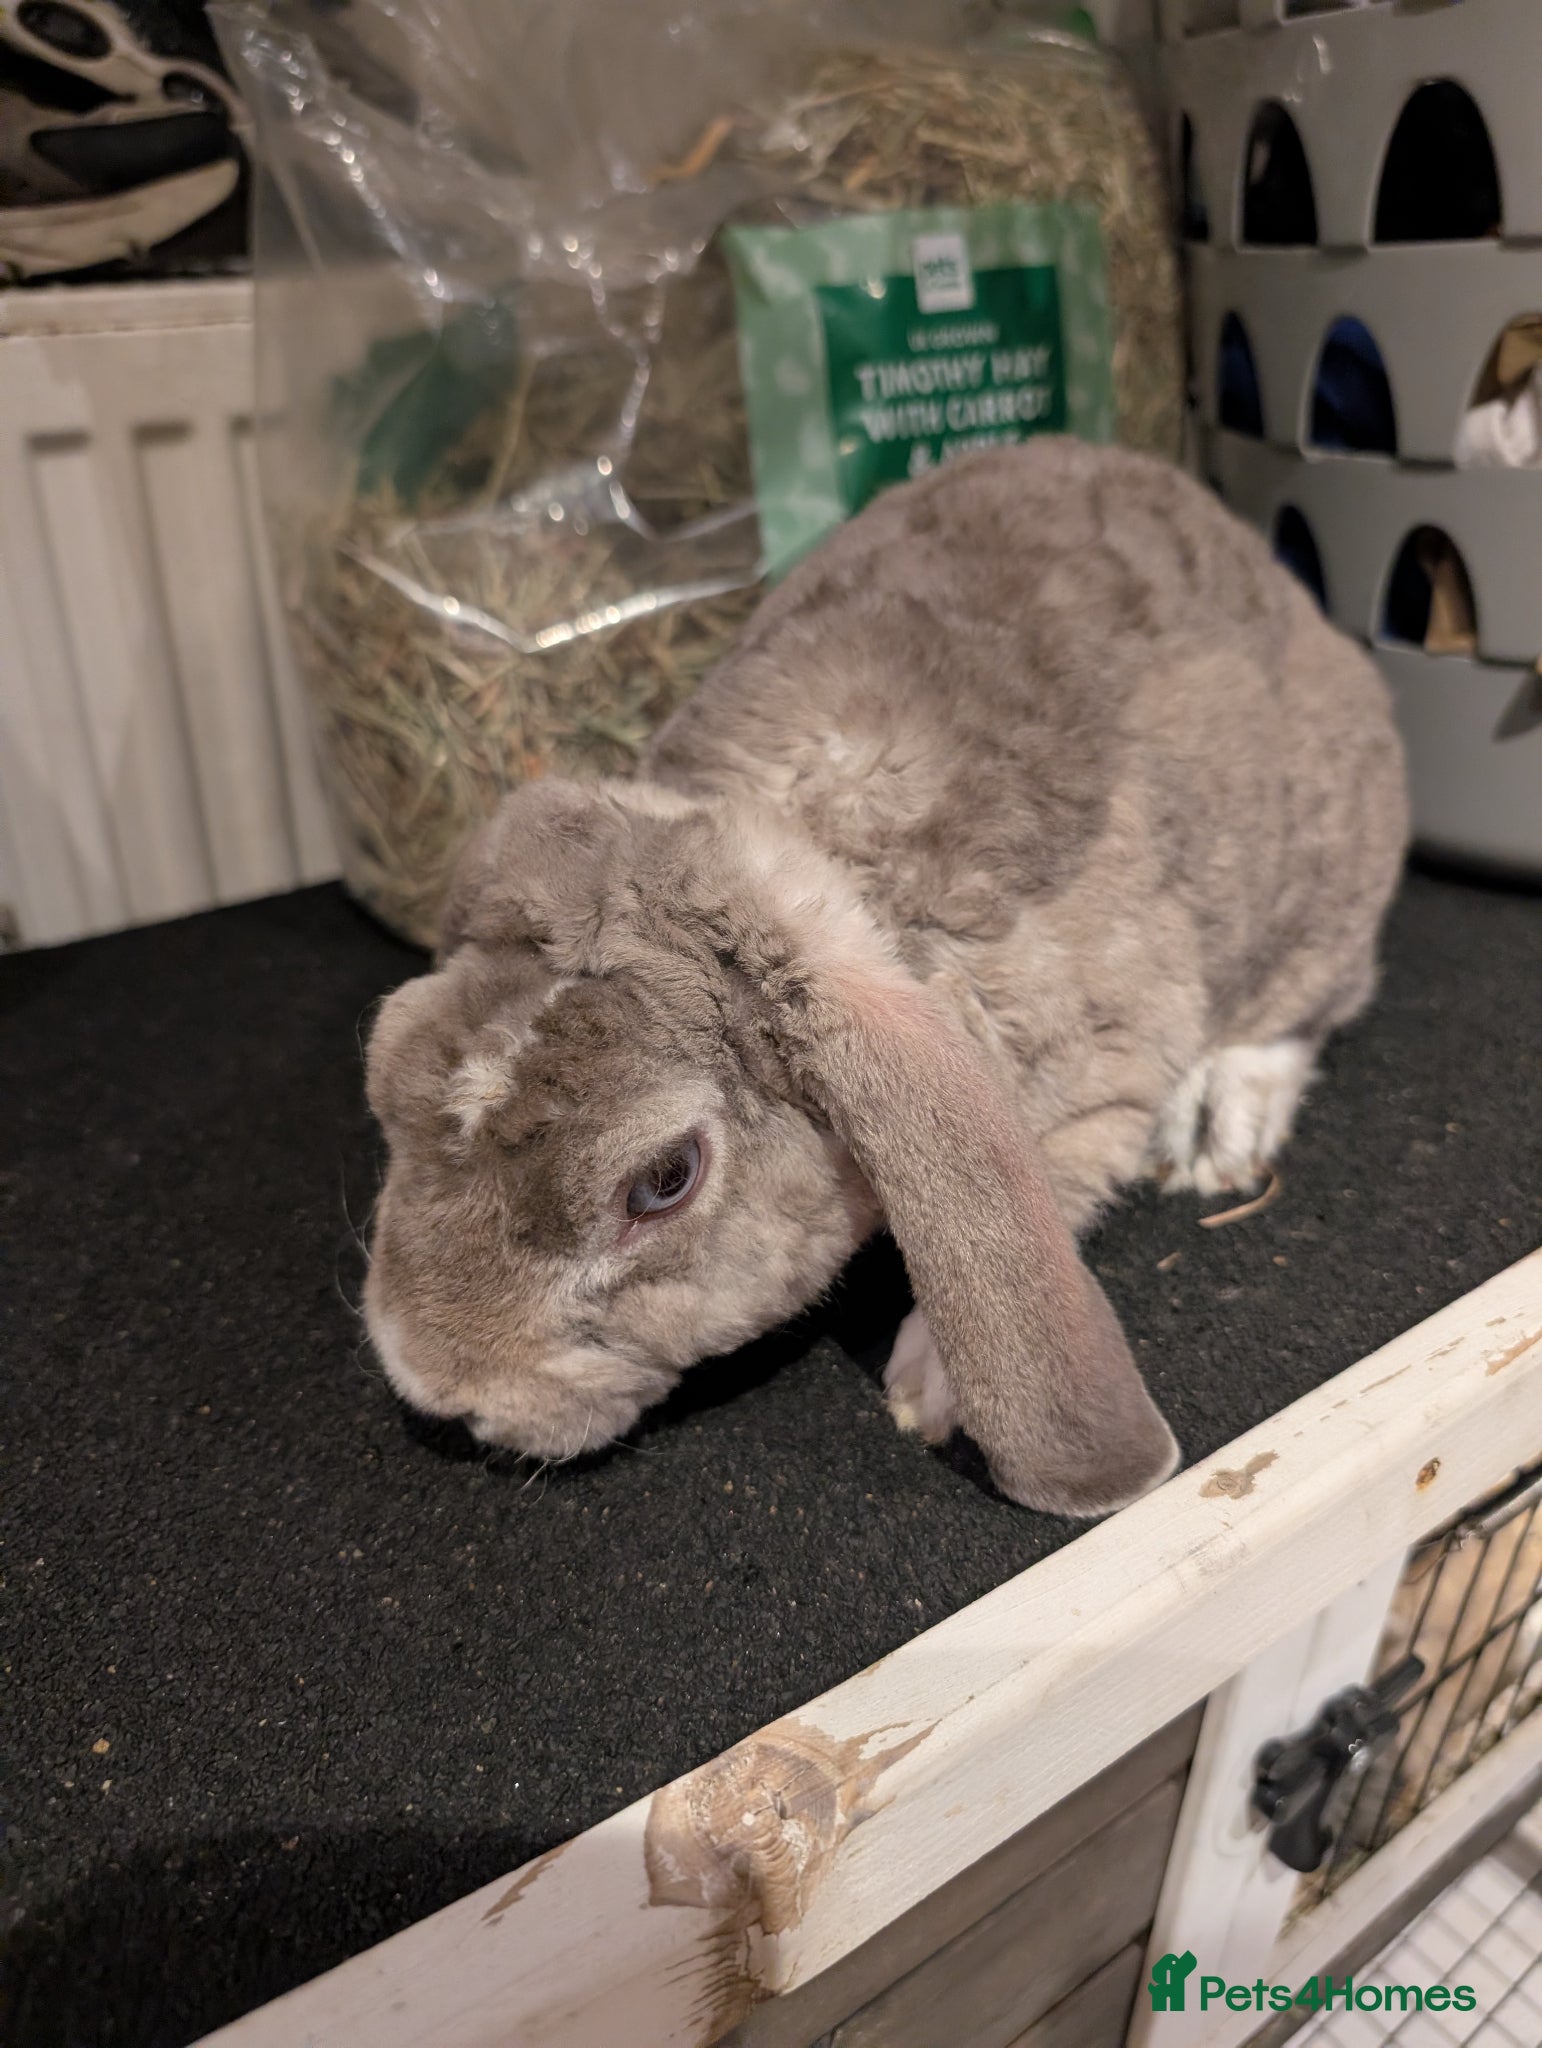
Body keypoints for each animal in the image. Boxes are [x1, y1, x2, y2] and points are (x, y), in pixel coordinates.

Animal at [362, 438, 1408, 1517]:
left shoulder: (1103, 1081)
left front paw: (931, 1385)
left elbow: (1046, 1194)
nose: (439, 1388)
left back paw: (1217, 1132)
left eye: (662, 1181)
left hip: (1321, 887)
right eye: (384, 1065)